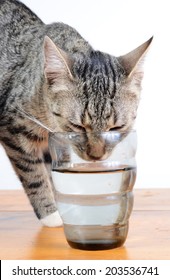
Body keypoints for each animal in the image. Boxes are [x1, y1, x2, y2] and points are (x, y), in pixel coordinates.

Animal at [0, 0, 152, 226]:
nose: (96, 156)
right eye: (78, 126)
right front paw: (50, 212)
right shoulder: (13, 128)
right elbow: (34, 174)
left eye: (116, 128)